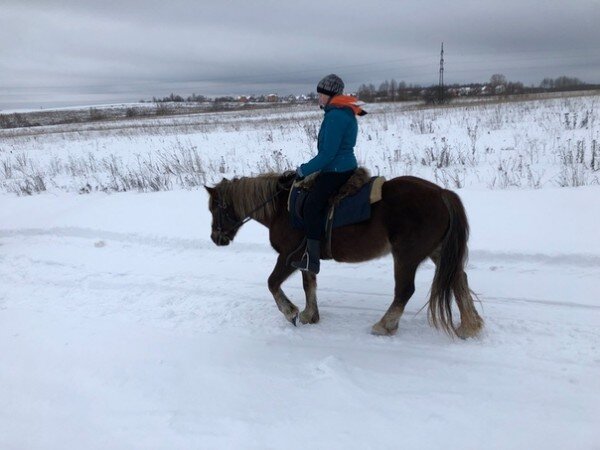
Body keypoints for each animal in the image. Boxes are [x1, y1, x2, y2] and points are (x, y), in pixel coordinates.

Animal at [205, 172, 482, 338]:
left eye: (214, 208)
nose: (216, 238)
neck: (282, 209)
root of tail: (441, 193)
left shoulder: (287, 256)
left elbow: (272, 283)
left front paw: (291, 312)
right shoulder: (306, 258)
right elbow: (309, 285)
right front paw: (310, 315)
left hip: (406, 256)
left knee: (405, 290)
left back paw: (384, 325)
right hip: (437, 251)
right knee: (458, 279)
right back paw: (470, 325)